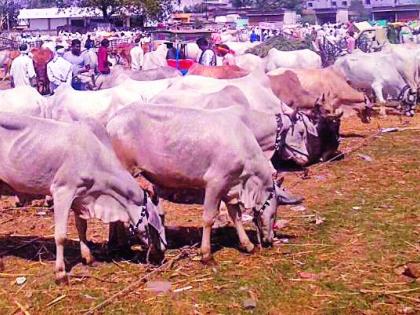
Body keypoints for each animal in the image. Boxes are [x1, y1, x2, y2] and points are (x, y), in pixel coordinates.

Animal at [0, 114, 167, 284]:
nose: (163, 250)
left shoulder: (80, 198)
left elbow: (82, 228)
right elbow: (61, 235)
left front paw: (88, 257)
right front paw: (60, 273)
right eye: (158, 220)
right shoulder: (63, 191)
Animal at [106, 105, 292, 260]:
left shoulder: (230, 186)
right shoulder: (215, 182)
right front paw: (206, 253)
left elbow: (236, 215)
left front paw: (248, 244)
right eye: (275, 212)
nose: (270, 239)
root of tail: (112, 120)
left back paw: (115, 242)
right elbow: (209, 217)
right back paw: (122, 245)